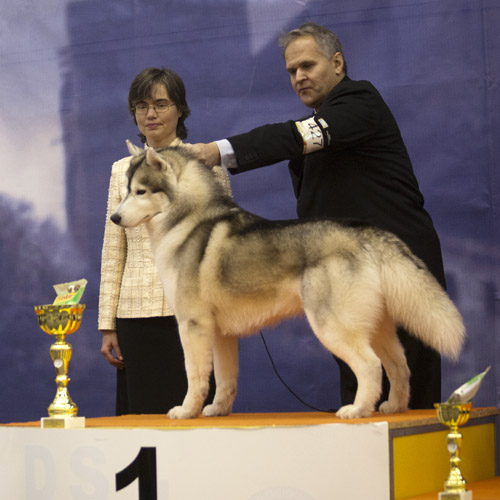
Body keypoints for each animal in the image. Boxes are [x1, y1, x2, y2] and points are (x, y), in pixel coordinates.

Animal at [110, 140, 464, 418]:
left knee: (370, 365)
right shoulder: (221, 333)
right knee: (399, 365)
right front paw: (218, 410)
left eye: (140, 191)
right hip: (375, 326)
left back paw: (358, 410)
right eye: (125, 191)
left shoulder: (192, 325)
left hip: (332, 326)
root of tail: (364, 231)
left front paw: (186, 411)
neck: (187, 220)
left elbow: (196, 376)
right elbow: (225, 379)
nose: (114, 217)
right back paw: (395, 407)